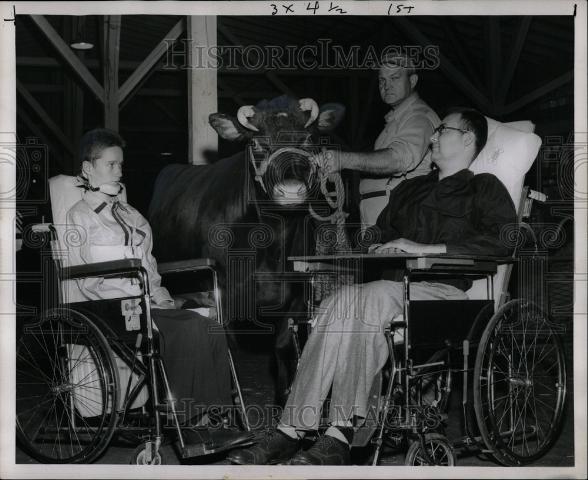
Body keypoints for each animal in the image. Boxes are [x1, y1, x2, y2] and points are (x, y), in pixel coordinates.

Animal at [149, 94, 346, 404]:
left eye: (308, 139)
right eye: (256, 144)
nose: (291, 190)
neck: (270, 245)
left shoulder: (296, 294)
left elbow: (282, 345)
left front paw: (284, 396)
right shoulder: (223, 298)